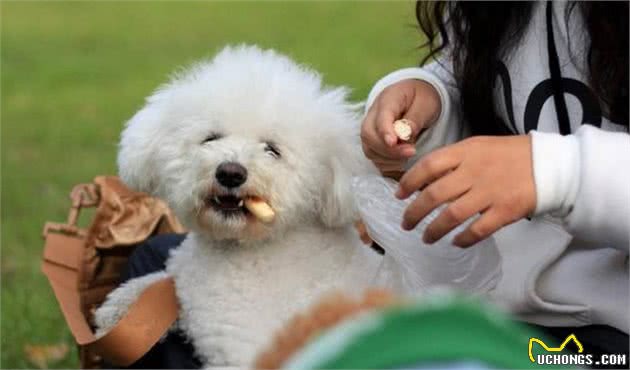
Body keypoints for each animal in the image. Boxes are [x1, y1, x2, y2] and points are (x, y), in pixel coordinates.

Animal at [93, 44, 380, 366]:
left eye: (272, 150)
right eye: (211, 138)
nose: (230, 173)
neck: (238, 249)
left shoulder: (244, 351)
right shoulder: (184, 284)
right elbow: (157, 283)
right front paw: (117, 309)